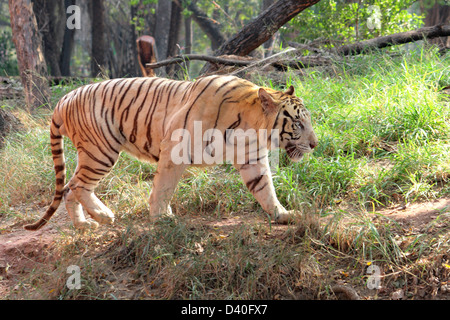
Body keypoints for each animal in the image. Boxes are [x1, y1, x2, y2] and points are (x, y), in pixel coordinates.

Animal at [24, 75, 318, 230]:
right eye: (298, 123)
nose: (315, 144)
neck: (250, 129)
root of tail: (64, 98)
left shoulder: (252, 159)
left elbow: (265, 189)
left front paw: (282, 214)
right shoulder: (174, 149)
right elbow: (163, 187)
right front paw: (160, 217)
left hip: (91, 153)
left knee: (69, 188)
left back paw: (84, 225)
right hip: (101, 151)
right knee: (77, 185)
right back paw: (103, 215)